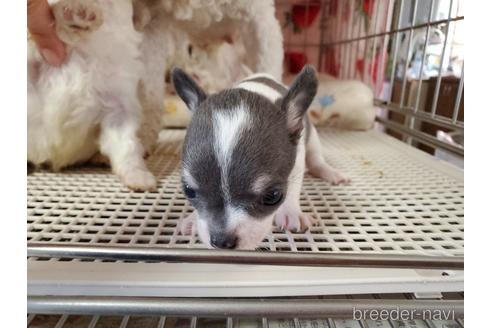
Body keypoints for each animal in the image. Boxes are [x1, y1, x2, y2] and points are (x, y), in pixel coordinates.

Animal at [171, 64, 348, 249]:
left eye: (273, 196)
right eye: (189, 191)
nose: (221, 241)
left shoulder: (298, 158)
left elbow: (293, 189)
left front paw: (290, 211)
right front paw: (193, 218)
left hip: (312, 139)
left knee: (316, 161)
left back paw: (331, 172)